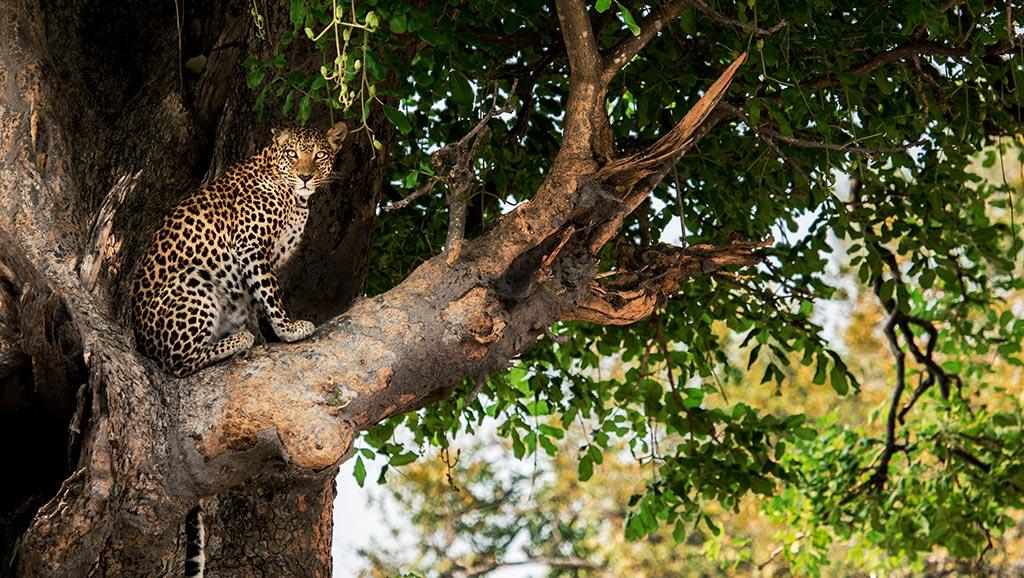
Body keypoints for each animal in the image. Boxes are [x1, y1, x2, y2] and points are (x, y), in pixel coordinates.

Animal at [130, 121, 348, 378]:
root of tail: (143, 344)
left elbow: (262, 295)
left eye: (320, 155)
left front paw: (274, 334)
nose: (305, 177)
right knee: (178, 363)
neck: (295, 199)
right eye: (292, 154)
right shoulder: (251, 245)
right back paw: (240, 339)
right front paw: (288, 329)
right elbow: (271, 293)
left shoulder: (269, 257)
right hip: (193, 278)